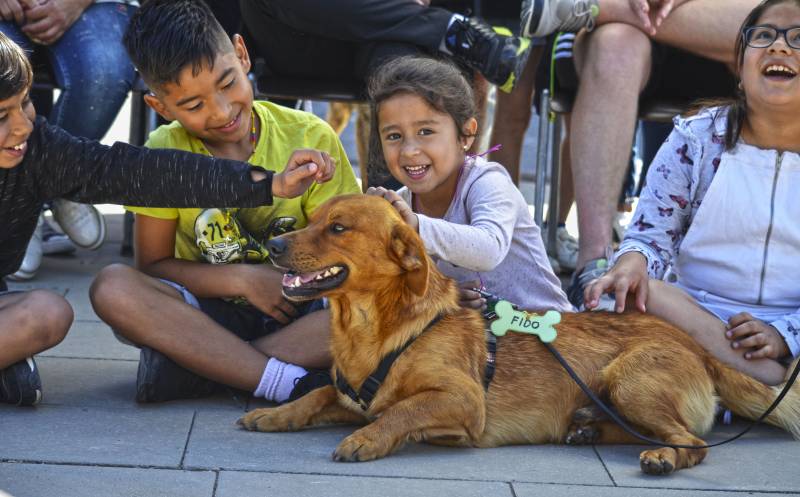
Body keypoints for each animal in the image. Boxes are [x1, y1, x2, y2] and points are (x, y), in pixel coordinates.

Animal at [239, 194, 800, 472]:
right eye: (310, 218)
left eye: (338, 228)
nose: (274, 245)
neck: (373, 328)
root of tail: (701, 350)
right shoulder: (350, 393)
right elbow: (317, 396)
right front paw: (276, 413)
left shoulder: (464, 401)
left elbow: (403, 410)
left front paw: (365, 439)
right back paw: (588, 430)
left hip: (631, 380)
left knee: (693, 442)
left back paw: (661, 455)